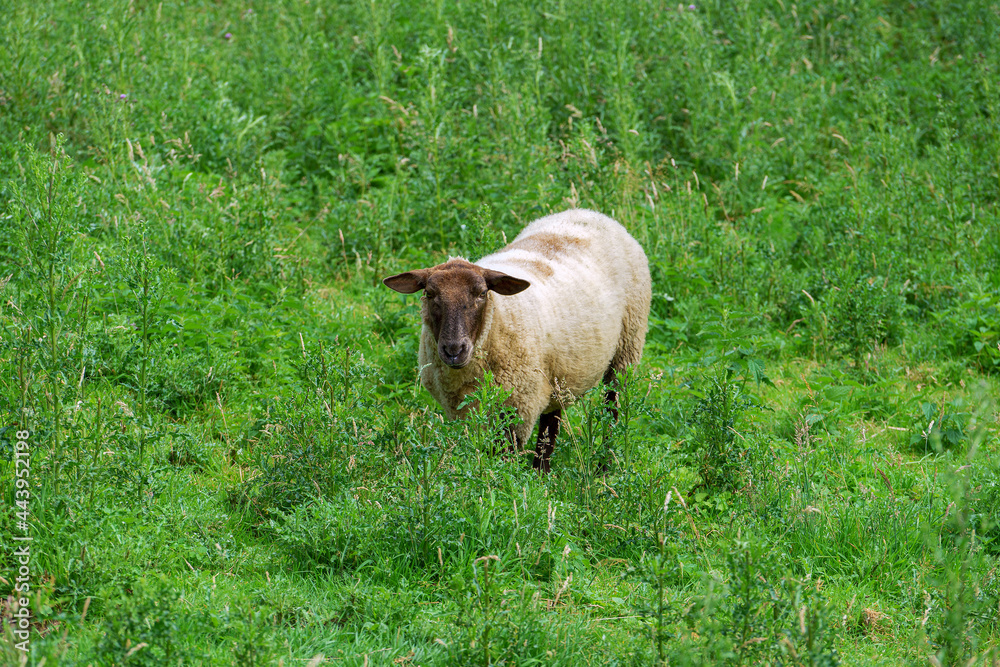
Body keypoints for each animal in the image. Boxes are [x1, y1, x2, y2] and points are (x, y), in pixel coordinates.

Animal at [380, 206, 648, 472]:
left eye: (481, 293)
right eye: (429, 293)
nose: (454, 350)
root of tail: (590, 213)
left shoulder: (518, 407)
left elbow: (504, 455)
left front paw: (501, 480)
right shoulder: (461, 410)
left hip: (626, 350)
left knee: (612, 407)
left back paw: (605, 465)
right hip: (557, 373)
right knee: (551, 420)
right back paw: (542, 473)